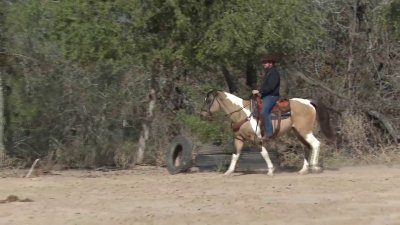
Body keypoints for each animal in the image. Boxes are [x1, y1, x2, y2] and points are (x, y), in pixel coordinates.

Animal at [200, 89, 334, 176]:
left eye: (209, 100)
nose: (202, 114)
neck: (242, 113)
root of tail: (308, 102)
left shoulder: (256, 139)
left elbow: (264, 153)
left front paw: (270, 170)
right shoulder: (238, 138)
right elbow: (235, 155)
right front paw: (228, 171)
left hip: (305, 131)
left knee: (316, 144)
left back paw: (314, 167)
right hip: (298, 132)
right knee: (306, 146)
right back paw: (303, 170)